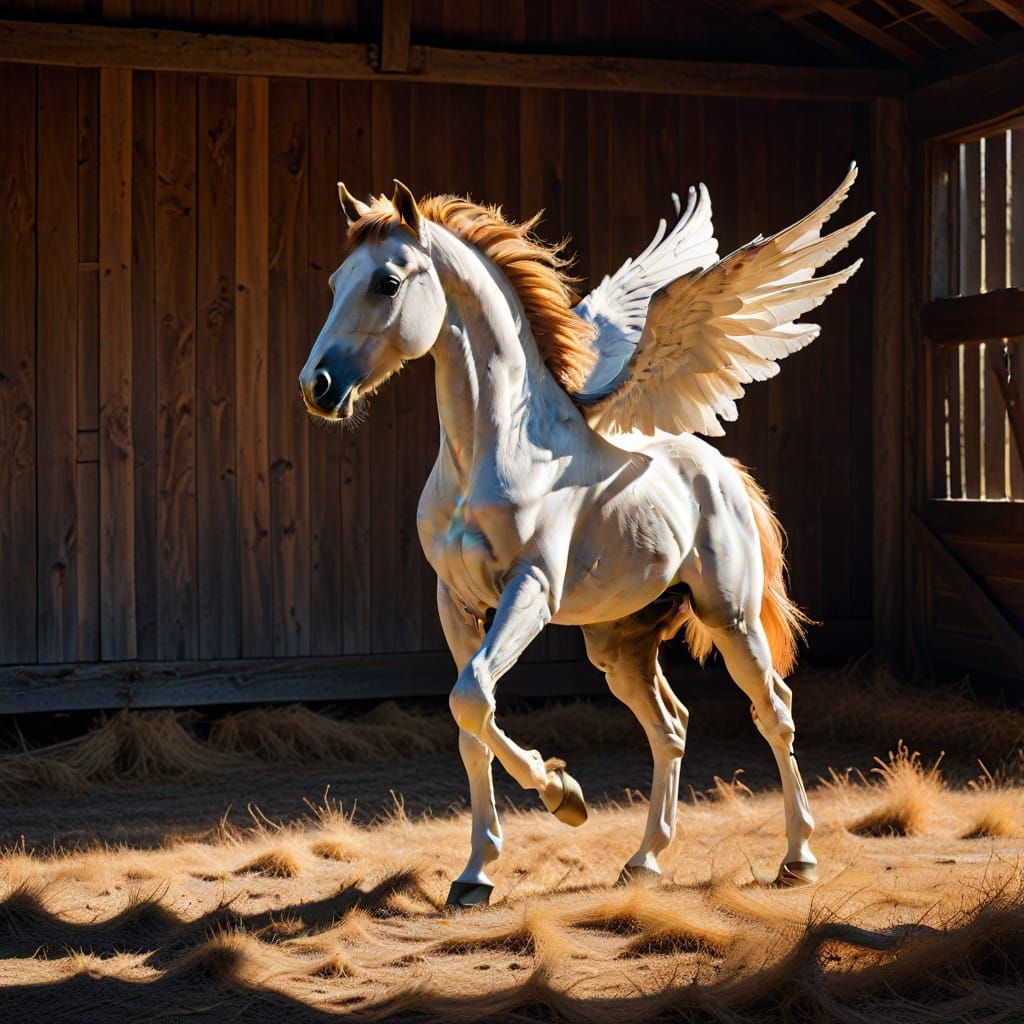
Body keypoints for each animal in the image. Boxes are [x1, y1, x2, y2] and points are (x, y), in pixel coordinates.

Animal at [299, 168, 871, 908]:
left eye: (387, 281)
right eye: (337, 279)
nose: (317, 386)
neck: (497, 451)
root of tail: (722, 470)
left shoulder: (531, 591)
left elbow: (473, 697)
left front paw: (563, 795)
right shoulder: (455, 603)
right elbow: (468, 720)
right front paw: (475, 873)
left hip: (731, 618)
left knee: (774, 709)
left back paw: (798, 857)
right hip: (618, 644)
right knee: (671, 727)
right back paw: (645, 860)